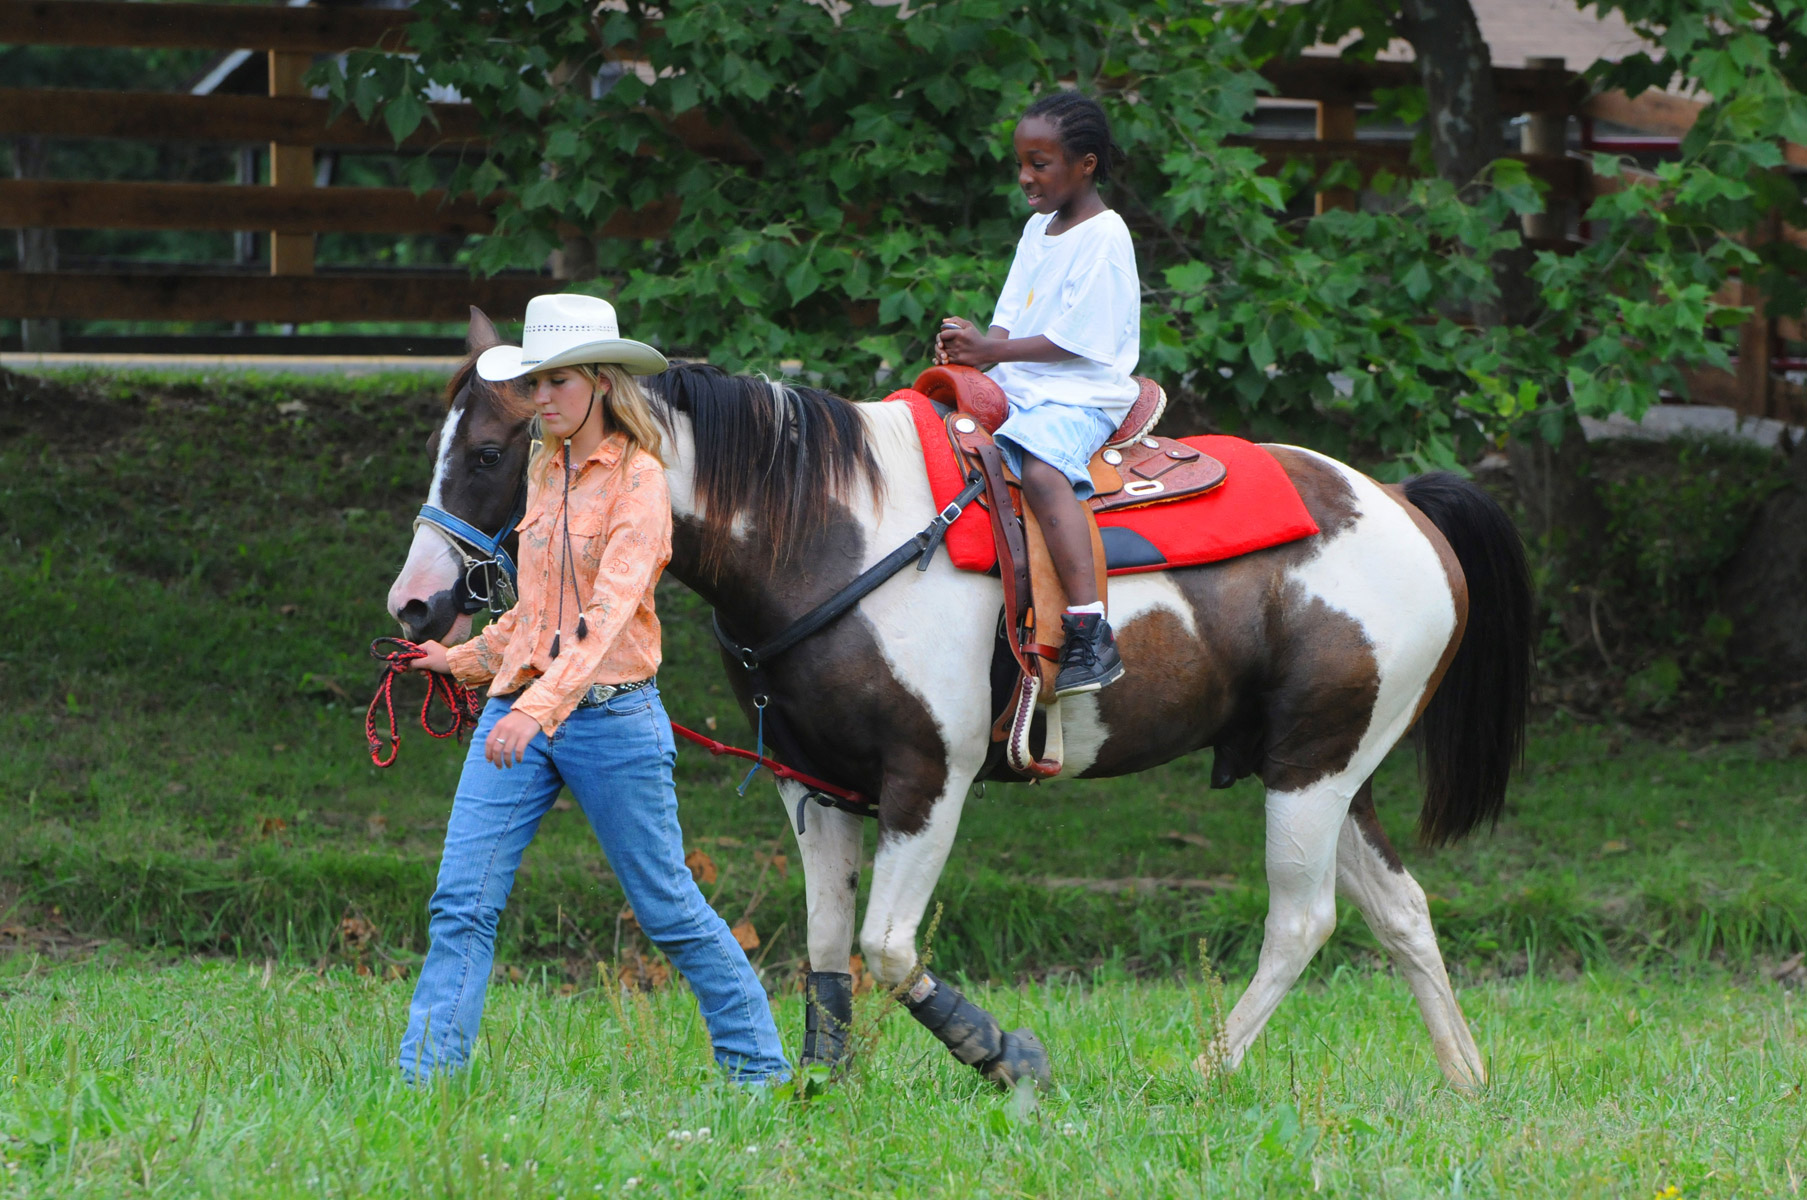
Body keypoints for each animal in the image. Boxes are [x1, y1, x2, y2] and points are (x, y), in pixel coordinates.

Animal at [387, 308, 1533, 1092]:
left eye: (490, 451)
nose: (415, 602)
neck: (828, 528)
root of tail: (1400, 504)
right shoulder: (814, 787)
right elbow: (826, 949)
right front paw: (822, 1083)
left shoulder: (928, 780)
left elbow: (890, 948)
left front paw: (1007, 1057)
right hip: (1331, 767)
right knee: (1400, 912)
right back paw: (1465, 1080)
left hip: (1311, 767)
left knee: (1303, 922)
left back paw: (1206, 1071)